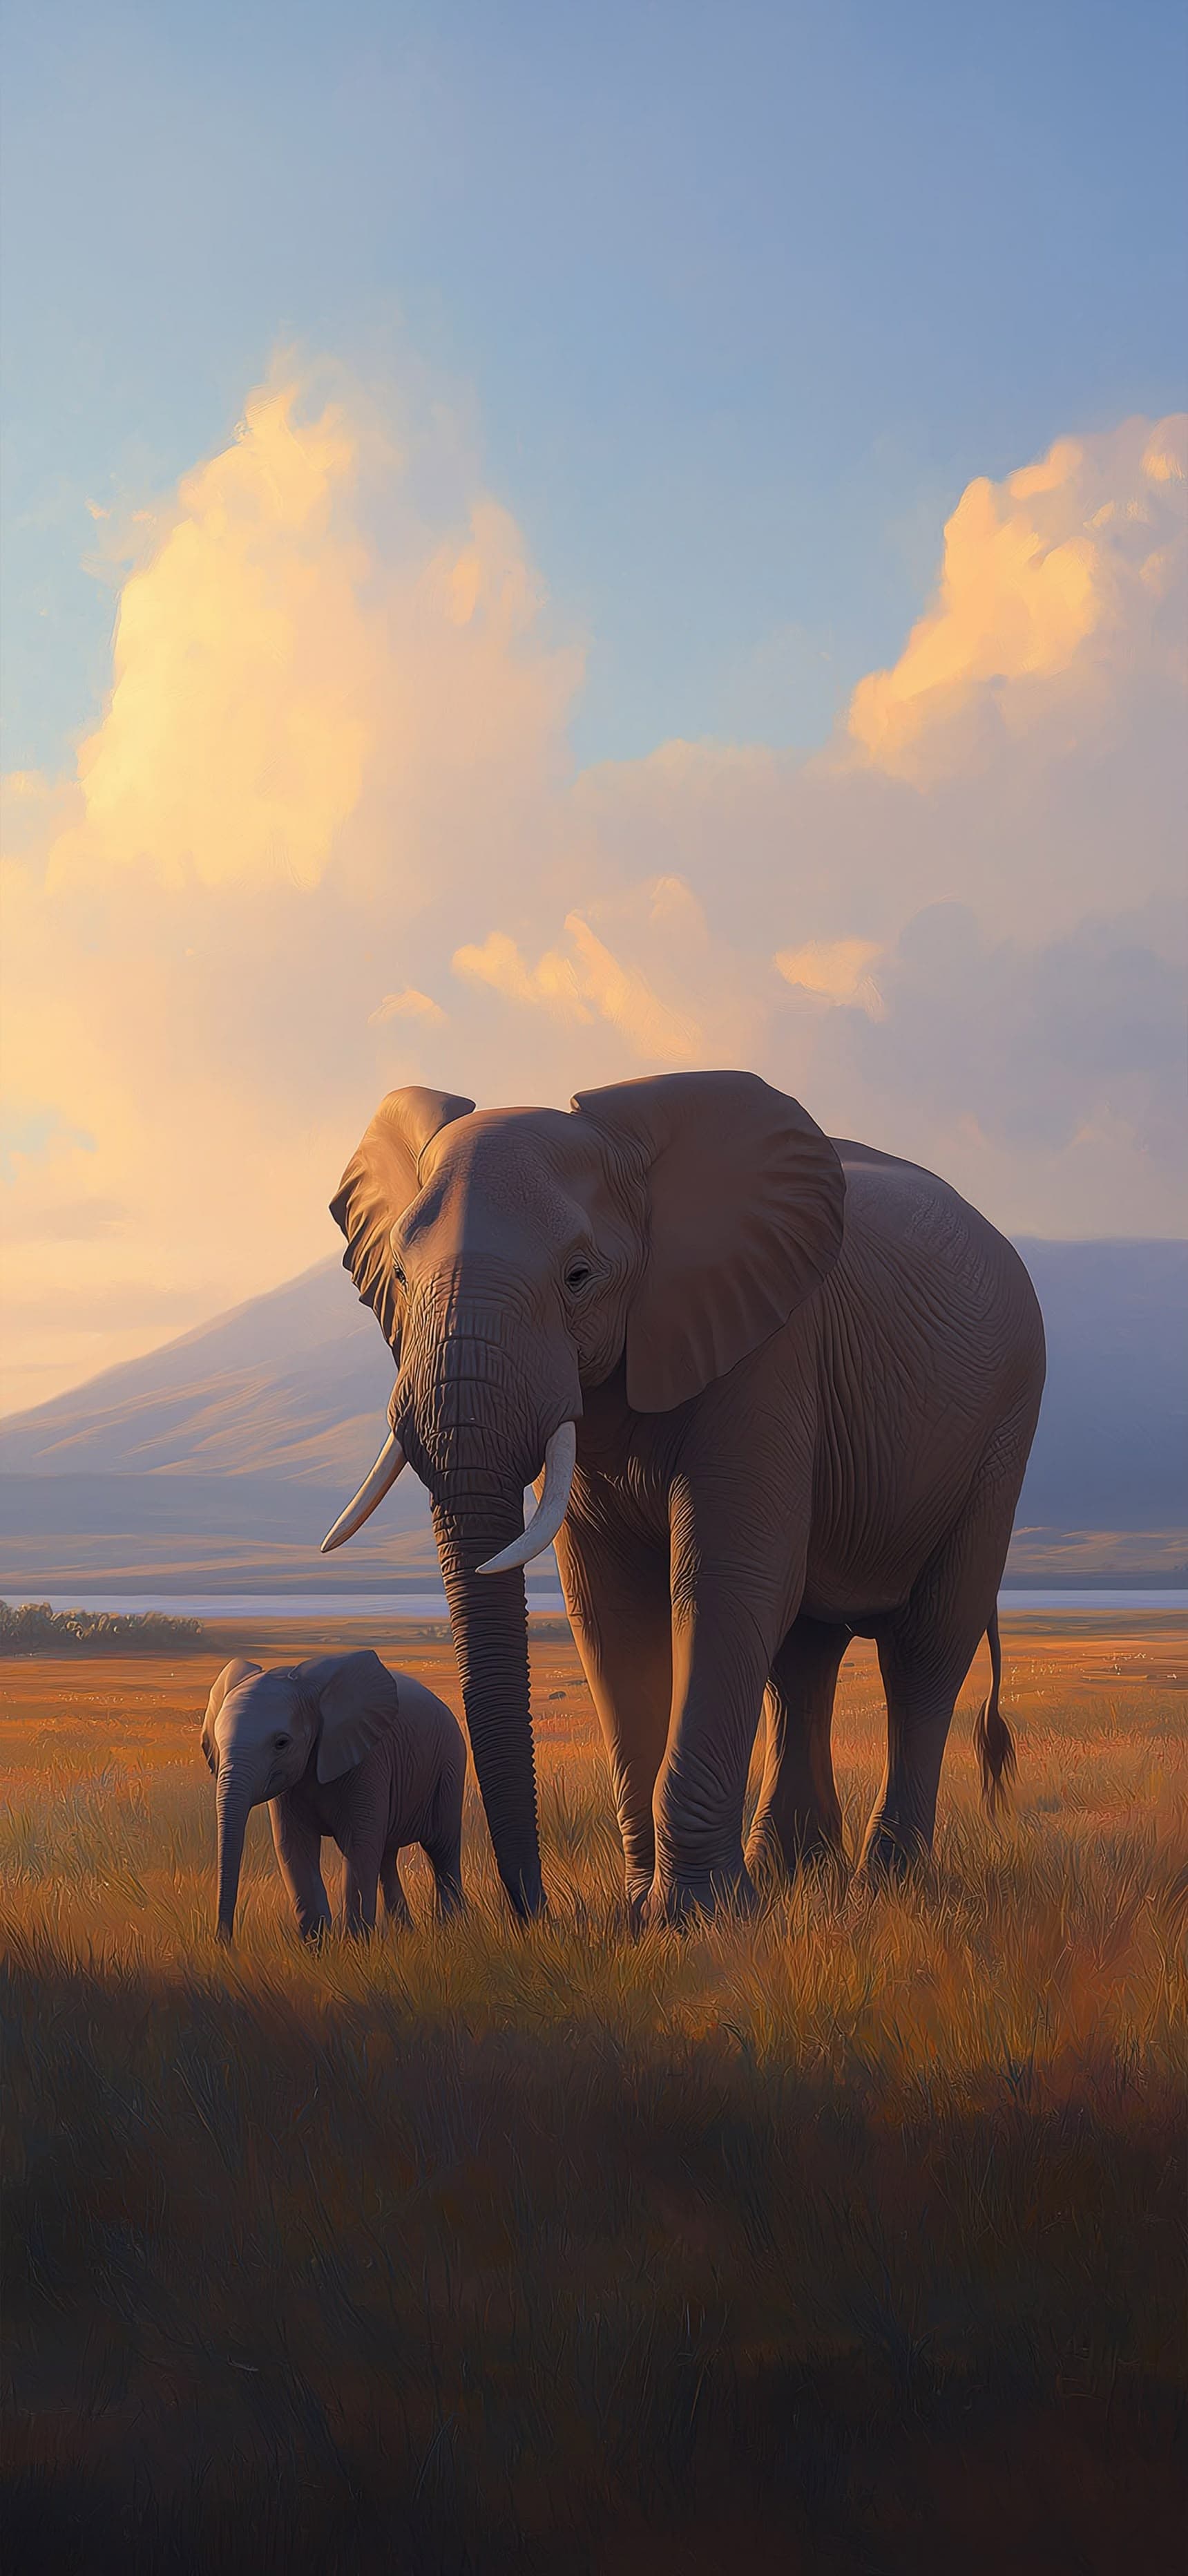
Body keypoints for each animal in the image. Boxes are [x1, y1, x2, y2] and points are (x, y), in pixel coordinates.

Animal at [201, 1648, 466, 1939]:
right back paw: (407, 1933)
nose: (225, 1943)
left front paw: (356, 1944)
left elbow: (359, 1846)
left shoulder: (368, 1759)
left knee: (442, 1850)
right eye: (217, 1743)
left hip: (450, 1767)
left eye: (282, 1743)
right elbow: (294, 1846)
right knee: (387, 1854)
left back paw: (453, 1927)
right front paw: (319, 1945)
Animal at [320, 1071, 1045, 1925]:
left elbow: (727, 1584)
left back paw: (885, 1880)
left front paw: (698, 1920)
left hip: (1004, 1425)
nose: (537, 1911)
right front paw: (644, 1909)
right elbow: (609, 1610)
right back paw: (795, 1869)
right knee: (802, 1660)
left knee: (926, 1650)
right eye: (399, 1278)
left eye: (579, 1276)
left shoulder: (769, 1347)